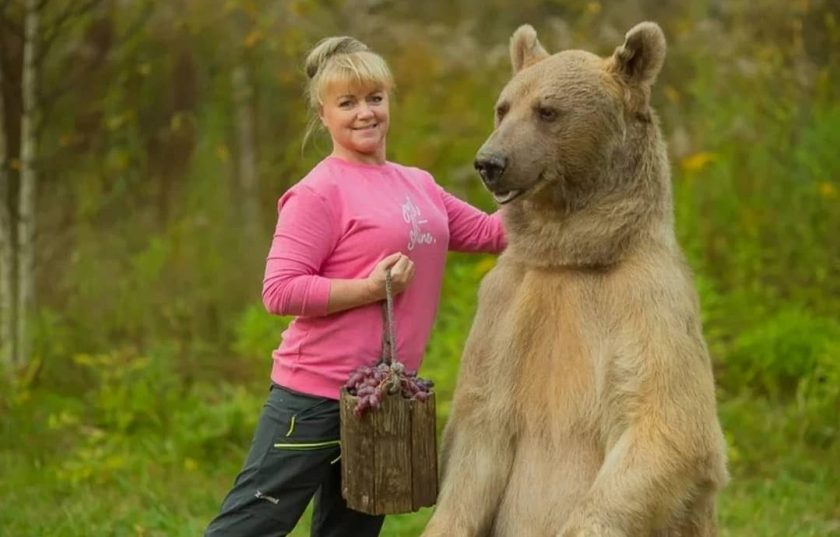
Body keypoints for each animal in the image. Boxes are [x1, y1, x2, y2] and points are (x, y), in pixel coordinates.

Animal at [420, 21, 728, 536]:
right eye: (503, 106)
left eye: (548, 110)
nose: (490, 162)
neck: (569, 255)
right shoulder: (504, 309)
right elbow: (476, 440)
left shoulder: (646, 301)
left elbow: (667, 425)